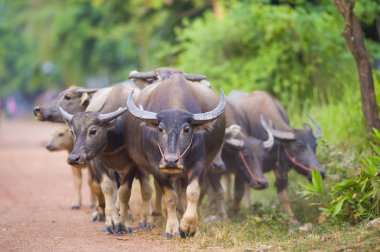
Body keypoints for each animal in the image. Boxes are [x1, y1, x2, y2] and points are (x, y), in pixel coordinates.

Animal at [59, 84, 151, 234]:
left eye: (93, 131)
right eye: (73, 132)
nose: (73, 158)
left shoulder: (132, 165)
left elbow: (124, 192)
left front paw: (124, 223)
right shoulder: (98, 163)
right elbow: (107, 188)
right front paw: (112, 223)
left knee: (146, 188)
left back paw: (145, 221)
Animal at [124, 71, 226, 238]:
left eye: (186, 129)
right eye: (160, 128)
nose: (171, 161)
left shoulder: (199, 165)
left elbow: (193, 192)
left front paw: (188, 226)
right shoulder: (156, 167)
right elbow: (170, 197)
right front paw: (172, 228)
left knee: (183, 192)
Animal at [235, 90, 324, 222]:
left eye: (315, 145)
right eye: (299, 146)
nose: (321, 172)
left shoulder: (280, 168)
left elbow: (283, 194)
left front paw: (291, 218)